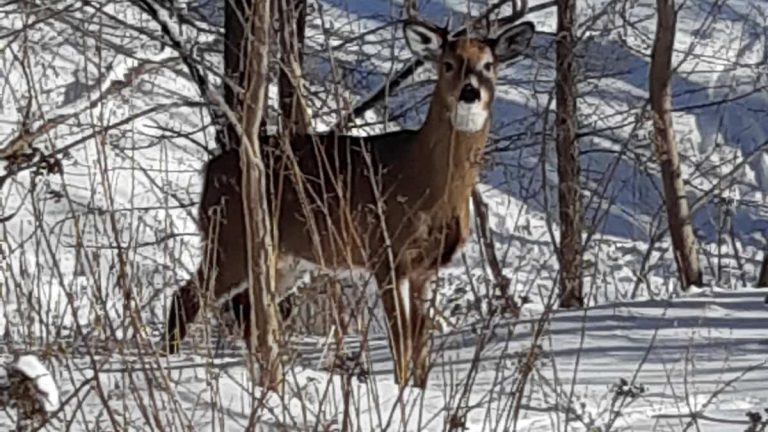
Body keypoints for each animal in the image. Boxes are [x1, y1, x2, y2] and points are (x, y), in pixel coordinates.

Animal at [162, 1, 536, 390]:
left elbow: (420, 343)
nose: (469, 92)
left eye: (489, 65)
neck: (428, 183)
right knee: (186, 296)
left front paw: (419, 389)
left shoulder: (427, 268)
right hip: (230, 237)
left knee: (250, 313)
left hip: (281, 258)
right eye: (447, 64)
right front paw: (401, 390)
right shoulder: (385, 252)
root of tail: (210, 170)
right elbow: (400, 340)